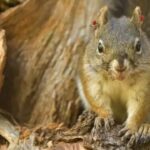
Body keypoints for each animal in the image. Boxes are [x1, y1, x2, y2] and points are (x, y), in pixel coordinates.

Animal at [77, 5, 150, 144]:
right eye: (100, 47)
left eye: (138, 46)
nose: (120, 66)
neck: (118, 80)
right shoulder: (92, 80)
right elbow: (97, 100)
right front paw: (104, 117)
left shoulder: (144, 85)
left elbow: (138, 109)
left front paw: (131, 128)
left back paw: (146, 128)